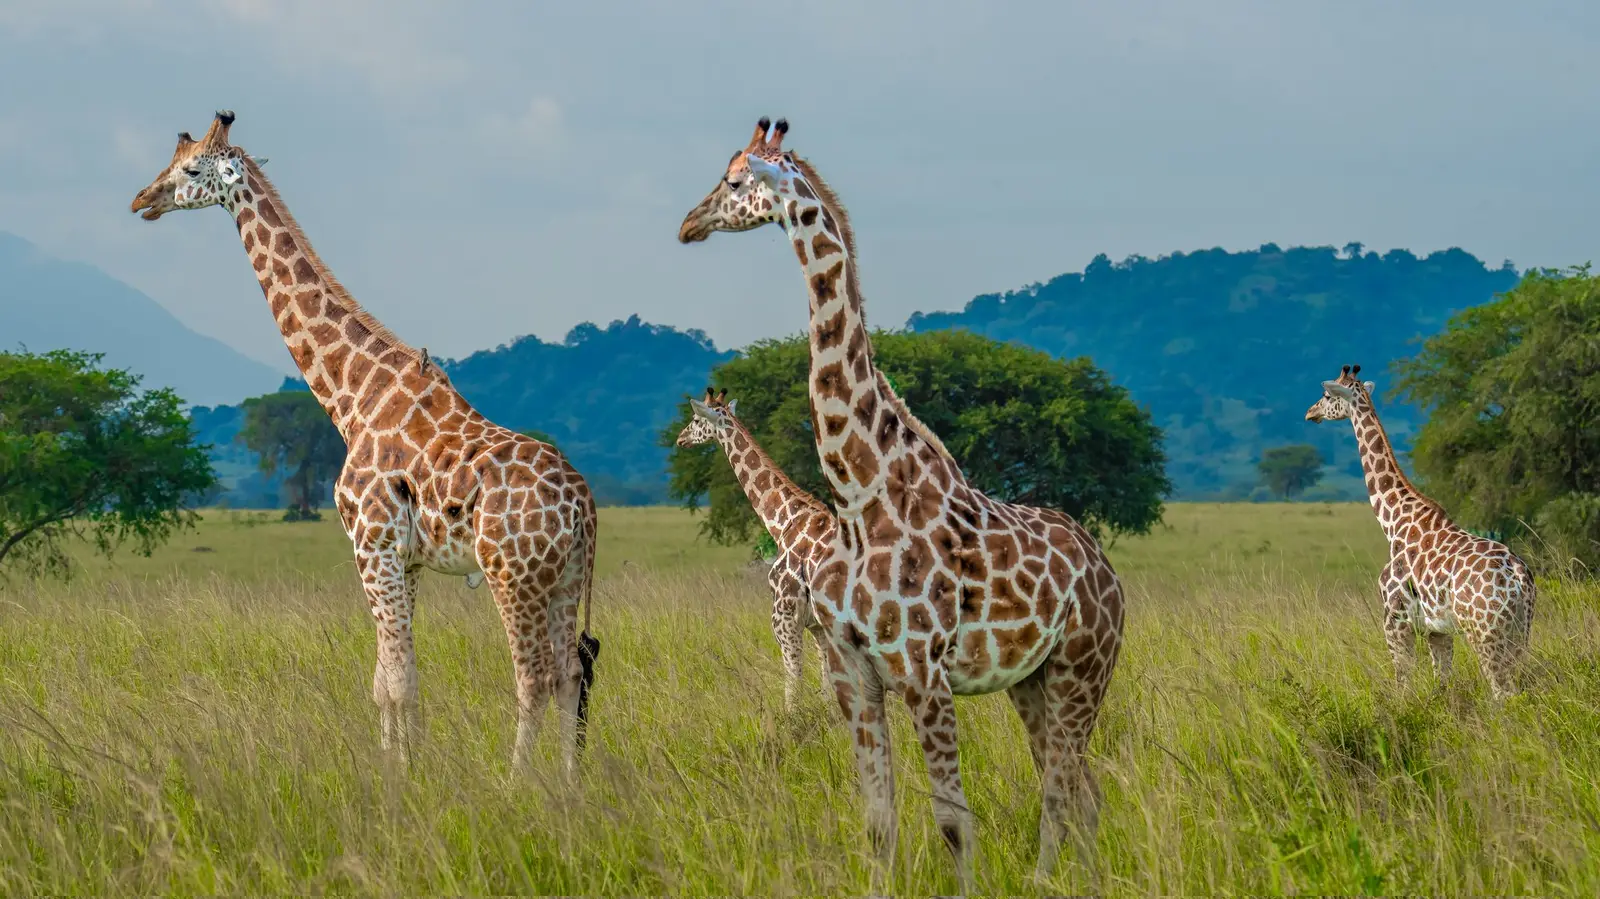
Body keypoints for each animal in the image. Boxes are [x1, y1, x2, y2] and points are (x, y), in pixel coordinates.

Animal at [129, 111, 601, 773]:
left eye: (192, 170)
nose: (143, 200)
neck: (352, 396)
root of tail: (584, 507)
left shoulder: (370, 545)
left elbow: (394, 680)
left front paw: (397, 777)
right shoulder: (407, 559)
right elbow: (393, 678)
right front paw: (404, 766)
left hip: (514, 574)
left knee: (533, 678)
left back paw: (517, 784)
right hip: (563, 578)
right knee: (567, 676)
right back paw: (568, 785)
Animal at [675, 387, 837, 712]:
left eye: (696, 419)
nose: (680, 438)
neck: (784, 521)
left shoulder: (784, 615)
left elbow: (793, 680)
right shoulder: (818, 626)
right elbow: (827, 690)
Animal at [1305, 363, 1535, 699]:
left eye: (1325, 395)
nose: (1310, 413)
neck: (1395, 522)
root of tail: (1519, 578)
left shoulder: (1394, 618)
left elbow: (1403, 681)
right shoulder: (1437, 630)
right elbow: (1442, 684)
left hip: (1484, 632)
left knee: (1502, 693)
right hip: (1521, 630)